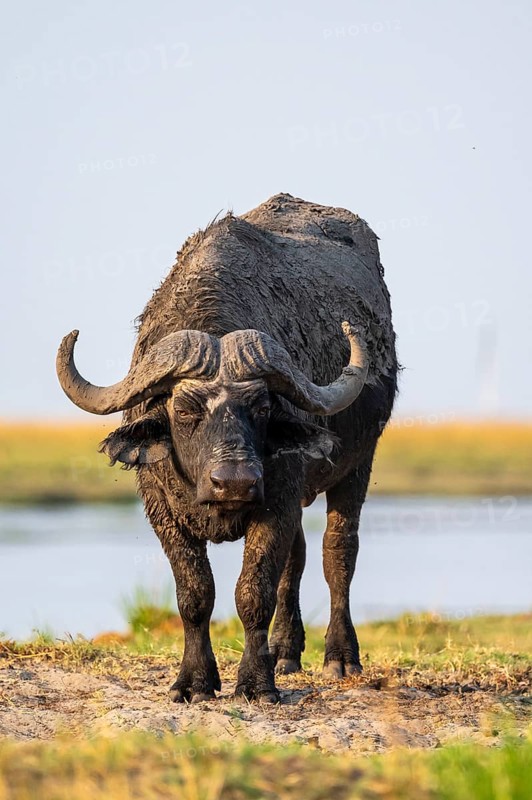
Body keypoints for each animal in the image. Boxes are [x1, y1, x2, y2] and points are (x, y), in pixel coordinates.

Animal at [57, 193, 397, 703]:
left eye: (261, 406)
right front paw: (195, 681)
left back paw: (339, 656)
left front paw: (256, 682)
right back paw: (285, 652)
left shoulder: (277, 500)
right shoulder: (161, 508)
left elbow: (253, 591)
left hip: (358, 463)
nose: (234, 482)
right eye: (183, 409)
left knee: (337, 553)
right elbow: (196, 593)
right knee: (297, 559)